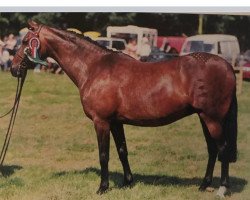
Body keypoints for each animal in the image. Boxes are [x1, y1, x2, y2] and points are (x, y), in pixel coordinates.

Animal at [11, 21, 238, 196]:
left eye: (25, 41)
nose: (14, 69)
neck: (94, 67)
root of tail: (227, 66)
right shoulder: (116, 122)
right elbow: (122, 151)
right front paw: (128, 182)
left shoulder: (101, 121)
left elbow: (104, 154)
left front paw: (103, 187)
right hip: (203, 117)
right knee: (212, 150)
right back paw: (204, 185)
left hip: (212, 118)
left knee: (222, 149)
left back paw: (222, 188)